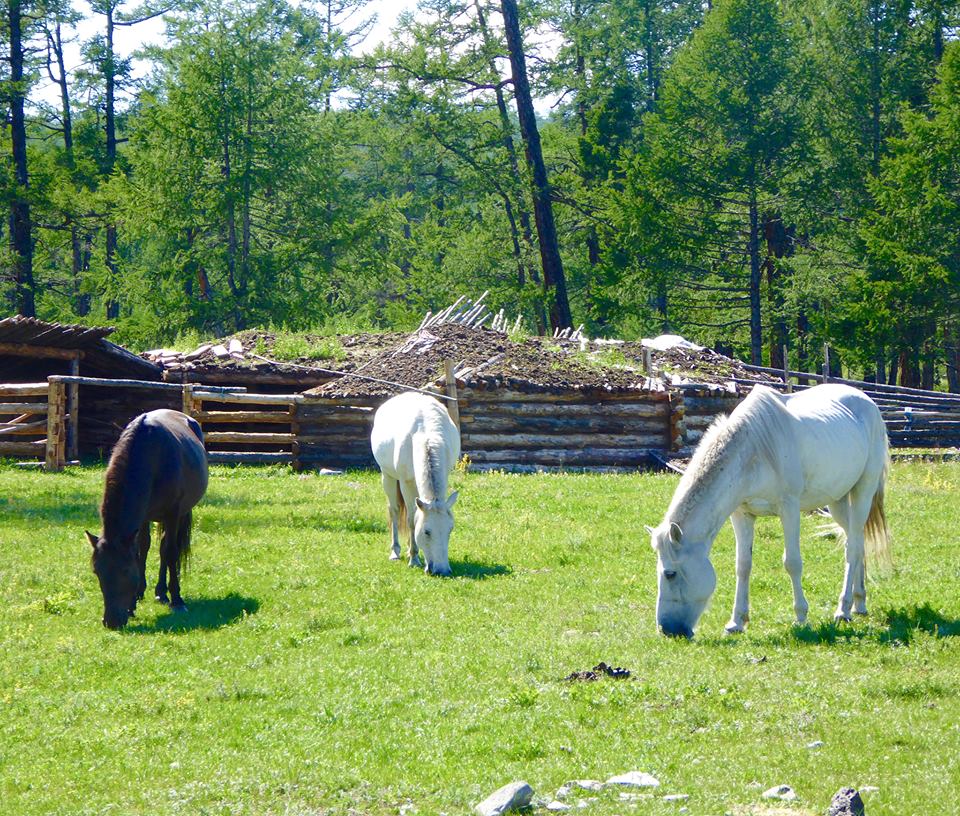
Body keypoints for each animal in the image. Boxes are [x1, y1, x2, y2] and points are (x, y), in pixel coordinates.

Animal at [86, 408, 208, 632]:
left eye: (125, 570)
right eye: (97, 571)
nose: (112, 621)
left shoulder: (173, 513)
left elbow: (170, 552)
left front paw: (177, 599)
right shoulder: (142, 518)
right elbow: (142, 550)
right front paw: (134, 601)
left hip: (181, 513)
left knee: (166, 549)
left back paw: (164, 593)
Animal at [370, 390, 460, 572]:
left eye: (450, 529)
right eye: (427, 532)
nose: (442, 570)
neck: (426, 434)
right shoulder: (406, 483)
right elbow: (411, 519)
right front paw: (414, 559)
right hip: (388, 476)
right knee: (394, 510)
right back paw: (395, 552)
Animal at [648, 382, 888, 636]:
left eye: (670, 574)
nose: (667, 629)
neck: (752, 452)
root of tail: (867, 402)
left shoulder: (789, 509)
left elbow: (792, 563)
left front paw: (801, 617)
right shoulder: (742, 514)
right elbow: (743, 565)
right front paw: (736, 621)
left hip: (863, 491)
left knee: (853, 547)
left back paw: (843, 609)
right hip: (838, 501)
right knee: (856, 541)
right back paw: (859, 603)